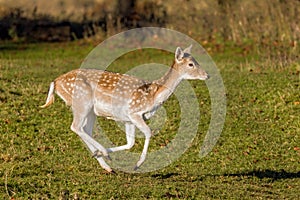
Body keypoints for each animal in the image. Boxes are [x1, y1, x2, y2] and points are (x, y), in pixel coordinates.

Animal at [40, 45, 209, 172]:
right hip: (82, 102)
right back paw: (104, 155)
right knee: (75, 127)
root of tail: (55, 82)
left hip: (90, 110)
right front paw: (138, 164)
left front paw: (105, 154)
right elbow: (148, 132)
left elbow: (130, 143)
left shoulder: (128, 120)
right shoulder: (134, 112)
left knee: (84, 129)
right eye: (191, 64)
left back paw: (104, 162)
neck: (153, 97)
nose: (207, 75)